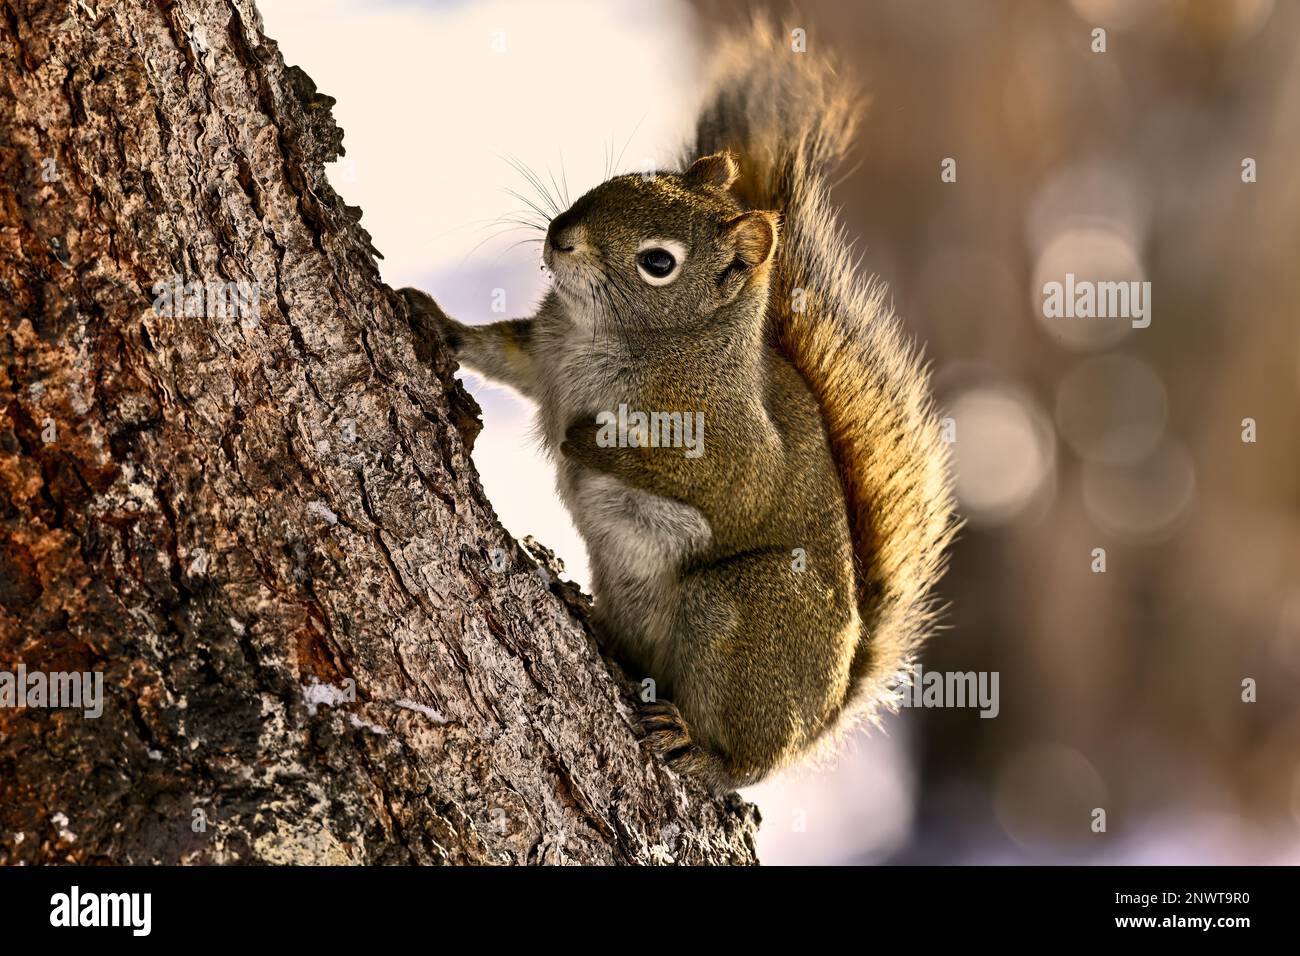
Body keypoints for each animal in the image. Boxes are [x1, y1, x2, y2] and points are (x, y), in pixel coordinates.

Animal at [400, 19, 956, 794]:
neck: (611, 337)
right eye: (616, 181)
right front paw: (433, 319)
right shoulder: (544, 358)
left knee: (746, 760)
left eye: (658, 262)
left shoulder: (733, 445)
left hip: (745, 611)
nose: (559, 236)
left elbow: (710, 478)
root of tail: (823, 715)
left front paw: (586, 440)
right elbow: (499, 354)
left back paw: (702, 747)